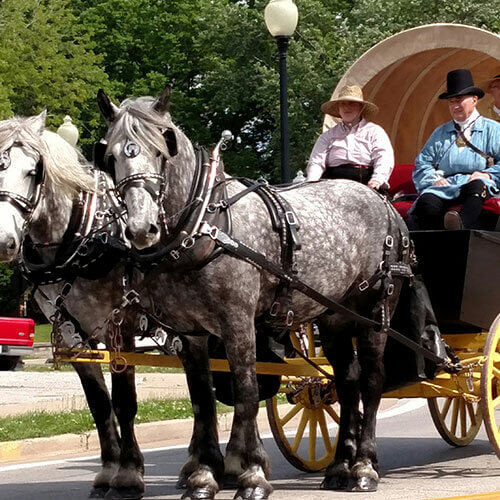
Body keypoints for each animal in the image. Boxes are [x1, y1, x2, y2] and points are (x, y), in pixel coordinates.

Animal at [97, 88, 410, 498]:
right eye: (111, 156)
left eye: (162, 150)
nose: (139, 228)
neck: (206, 225)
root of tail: (384, 203)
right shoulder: (191, 333)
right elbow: (202, 402)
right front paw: (203, 476)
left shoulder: (238, 323)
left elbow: (245, 393)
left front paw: (252, 474)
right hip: (335, 317)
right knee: (347, 382)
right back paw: (340, 465)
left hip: (375, 311)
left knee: (372, 381)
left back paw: (363, 467)